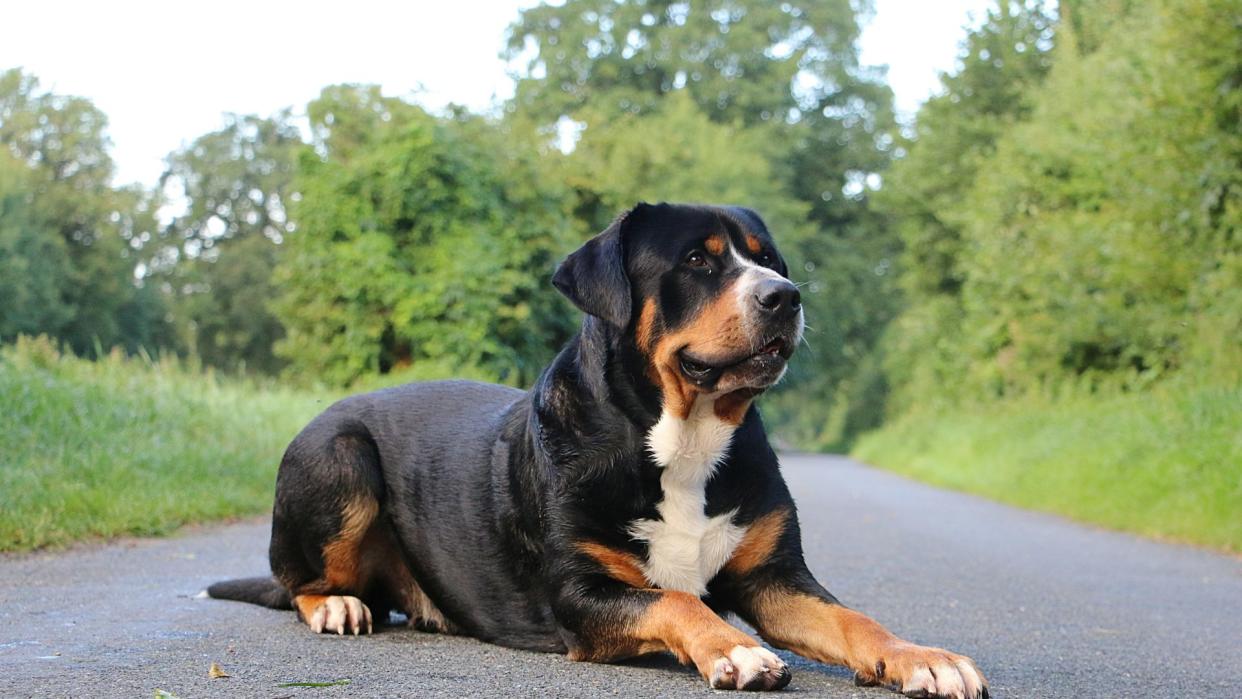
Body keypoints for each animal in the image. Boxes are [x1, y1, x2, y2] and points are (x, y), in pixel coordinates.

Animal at [213, 201, 988, 695]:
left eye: (767, 259)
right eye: (698, 261)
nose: (786, 296)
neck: (686, 438)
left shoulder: (775, 578)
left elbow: (855, 617)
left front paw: (924, 659)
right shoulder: (581, 591)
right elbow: (676, 602)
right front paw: (736, 649)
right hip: (339, 458)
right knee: (298, 580)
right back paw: (337, 605)